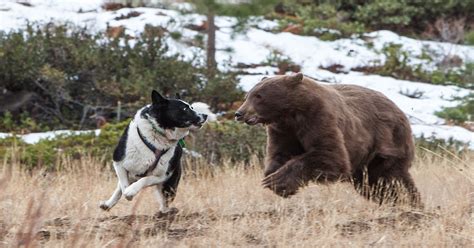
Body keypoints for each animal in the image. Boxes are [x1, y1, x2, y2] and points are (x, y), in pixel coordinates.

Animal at [236, 72, 422, 207]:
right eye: (248, 95)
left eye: (259, 96)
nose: (239, 113)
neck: (291, 113)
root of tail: (400, 110)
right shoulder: (283, 130)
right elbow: (280, 153)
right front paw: (273, 178)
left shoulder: (319, 118)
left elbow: (329, 156)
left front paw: (278, 181)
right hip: (366, 162)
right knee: (374, 184)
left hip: (388, 143)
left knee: (391, 178)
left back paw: (411, 204)